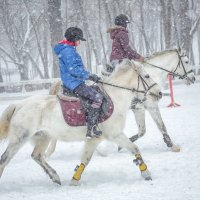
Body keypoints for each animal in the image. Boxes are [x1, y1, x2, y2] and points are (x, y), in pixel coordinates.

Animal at [0, 60, 161, 185]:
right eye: (147, 76)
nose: (159, 93)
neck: (115, 97)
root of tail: (18, 105)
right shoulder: (115, 135)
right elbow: (135, 149)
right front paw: (146, 174)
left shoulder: (94, 139)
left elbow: (85, 159)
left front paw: (74, 180)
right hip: (19, 139)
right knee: (4, 159)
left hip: (43, 137)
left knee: (37, 156)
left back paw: (55, 177)